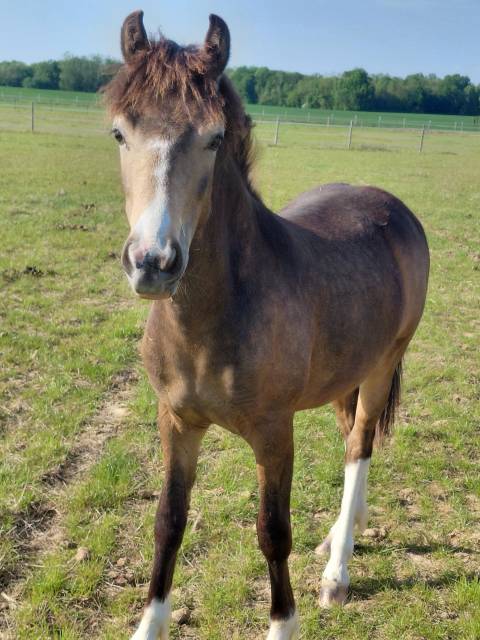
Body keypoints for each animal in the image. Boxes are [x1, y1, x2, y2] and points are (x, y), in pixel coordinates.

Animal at [104, 11, 429, 640]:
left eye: (213, 138)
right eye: (120, 134)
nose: (153, 263)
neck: (213, 321)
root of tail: (393, 207)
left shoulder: (275, 434)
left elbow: (272, 533)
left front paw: (284, 621)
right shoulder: (176, 421)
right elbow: (168, 521)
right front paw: (149, 623)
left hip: (382, 366)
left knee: (361, 445)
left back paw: (336, 572)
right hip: (346, 374)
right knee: (351, 438)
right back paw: (341, 534)